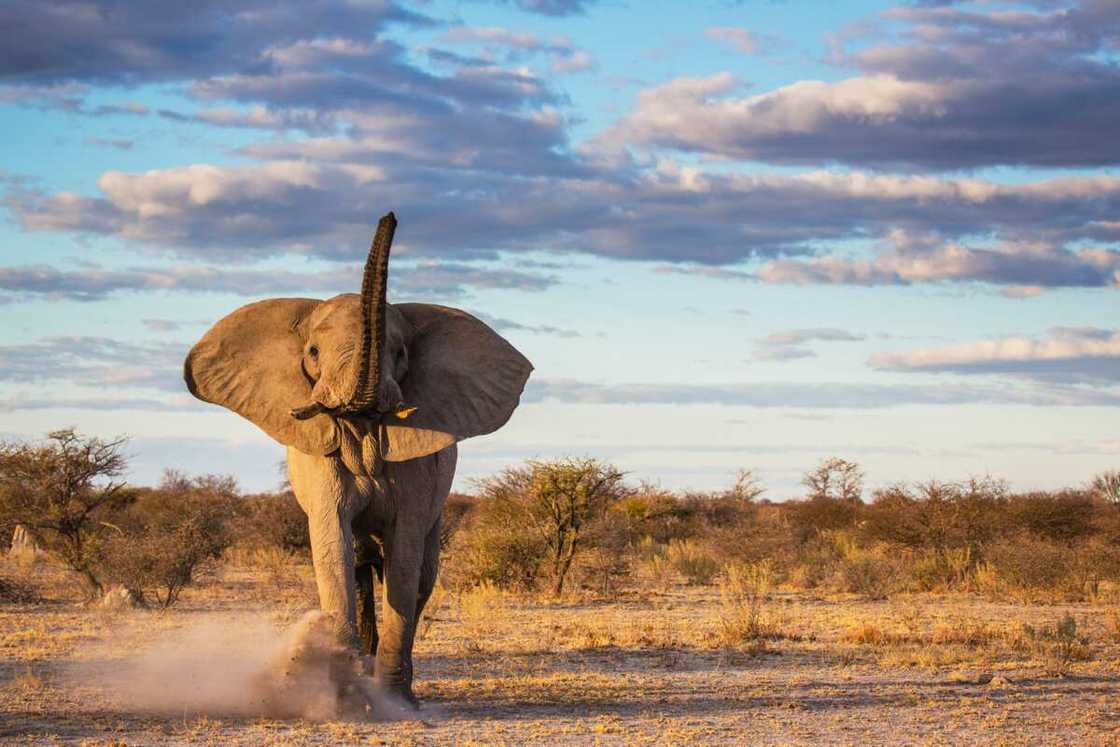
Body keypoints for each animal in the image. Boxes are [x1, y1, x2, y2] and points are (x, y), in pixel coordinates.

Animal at [183, 212, 533, 703]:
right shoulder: (320, 460)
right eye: (312, 352)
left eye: (400, 352)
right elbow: (333, 548)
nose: (390, 217)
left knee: (420, 574)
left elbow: (404, 561)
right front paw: (344, 693)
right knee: (360, 566)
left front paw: (394, 701)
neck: (361, 422)